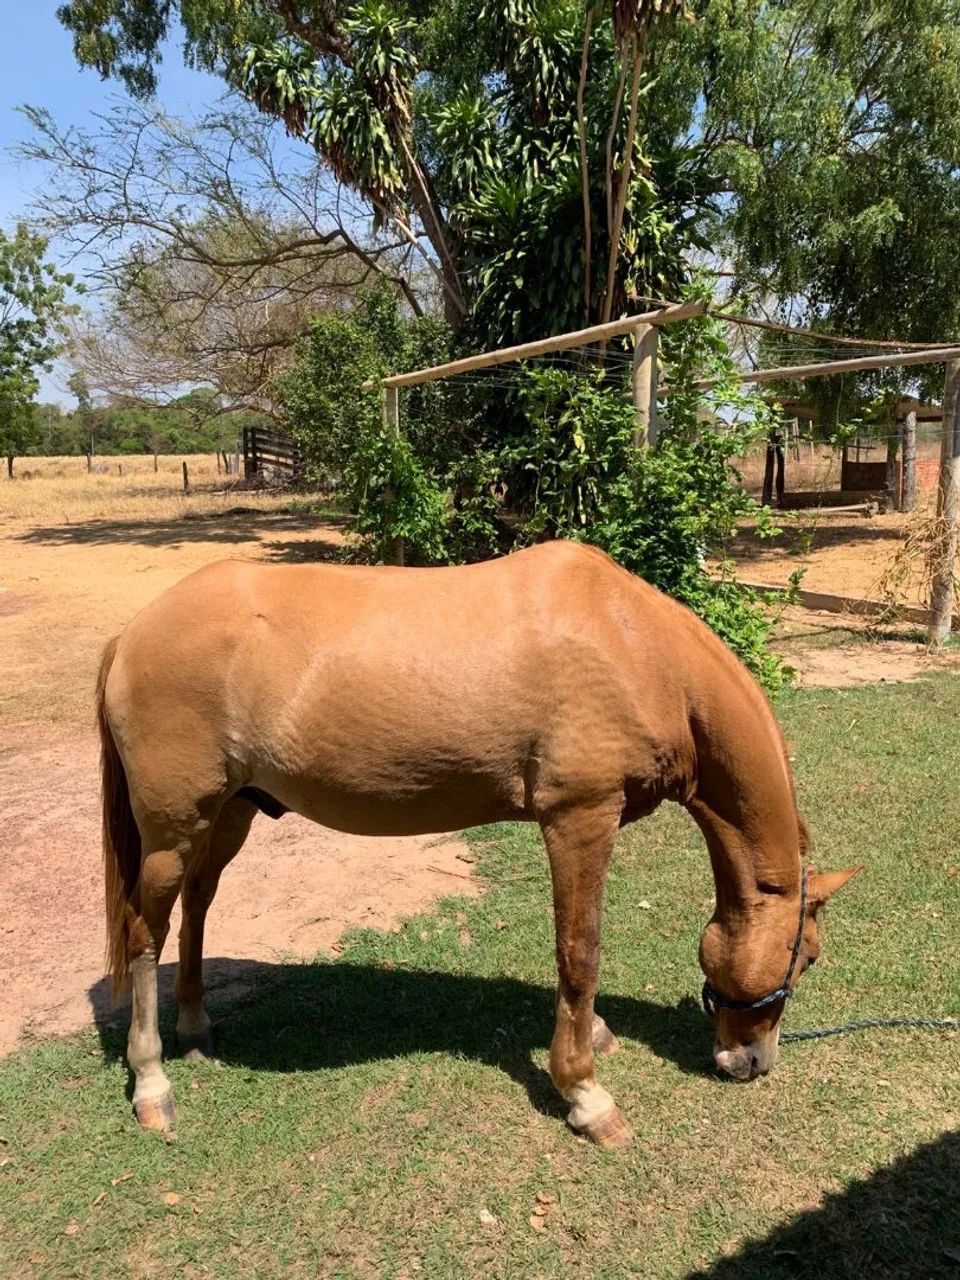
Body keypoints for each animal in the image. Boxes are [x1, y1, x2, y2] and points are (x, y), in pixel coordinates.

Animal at [96, 540, 859, 1148]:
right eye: (808, 957)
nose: (752, 1064)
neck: (634, 646)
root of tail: (132, 632)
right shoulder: (580, 819)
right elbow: (580, 951)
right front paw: (586, 1095)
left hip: (228, 815)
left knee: (196, 907)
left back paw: (195, 1027)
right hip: (172, 832)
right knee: (144, 933)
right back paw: (152, 1083)